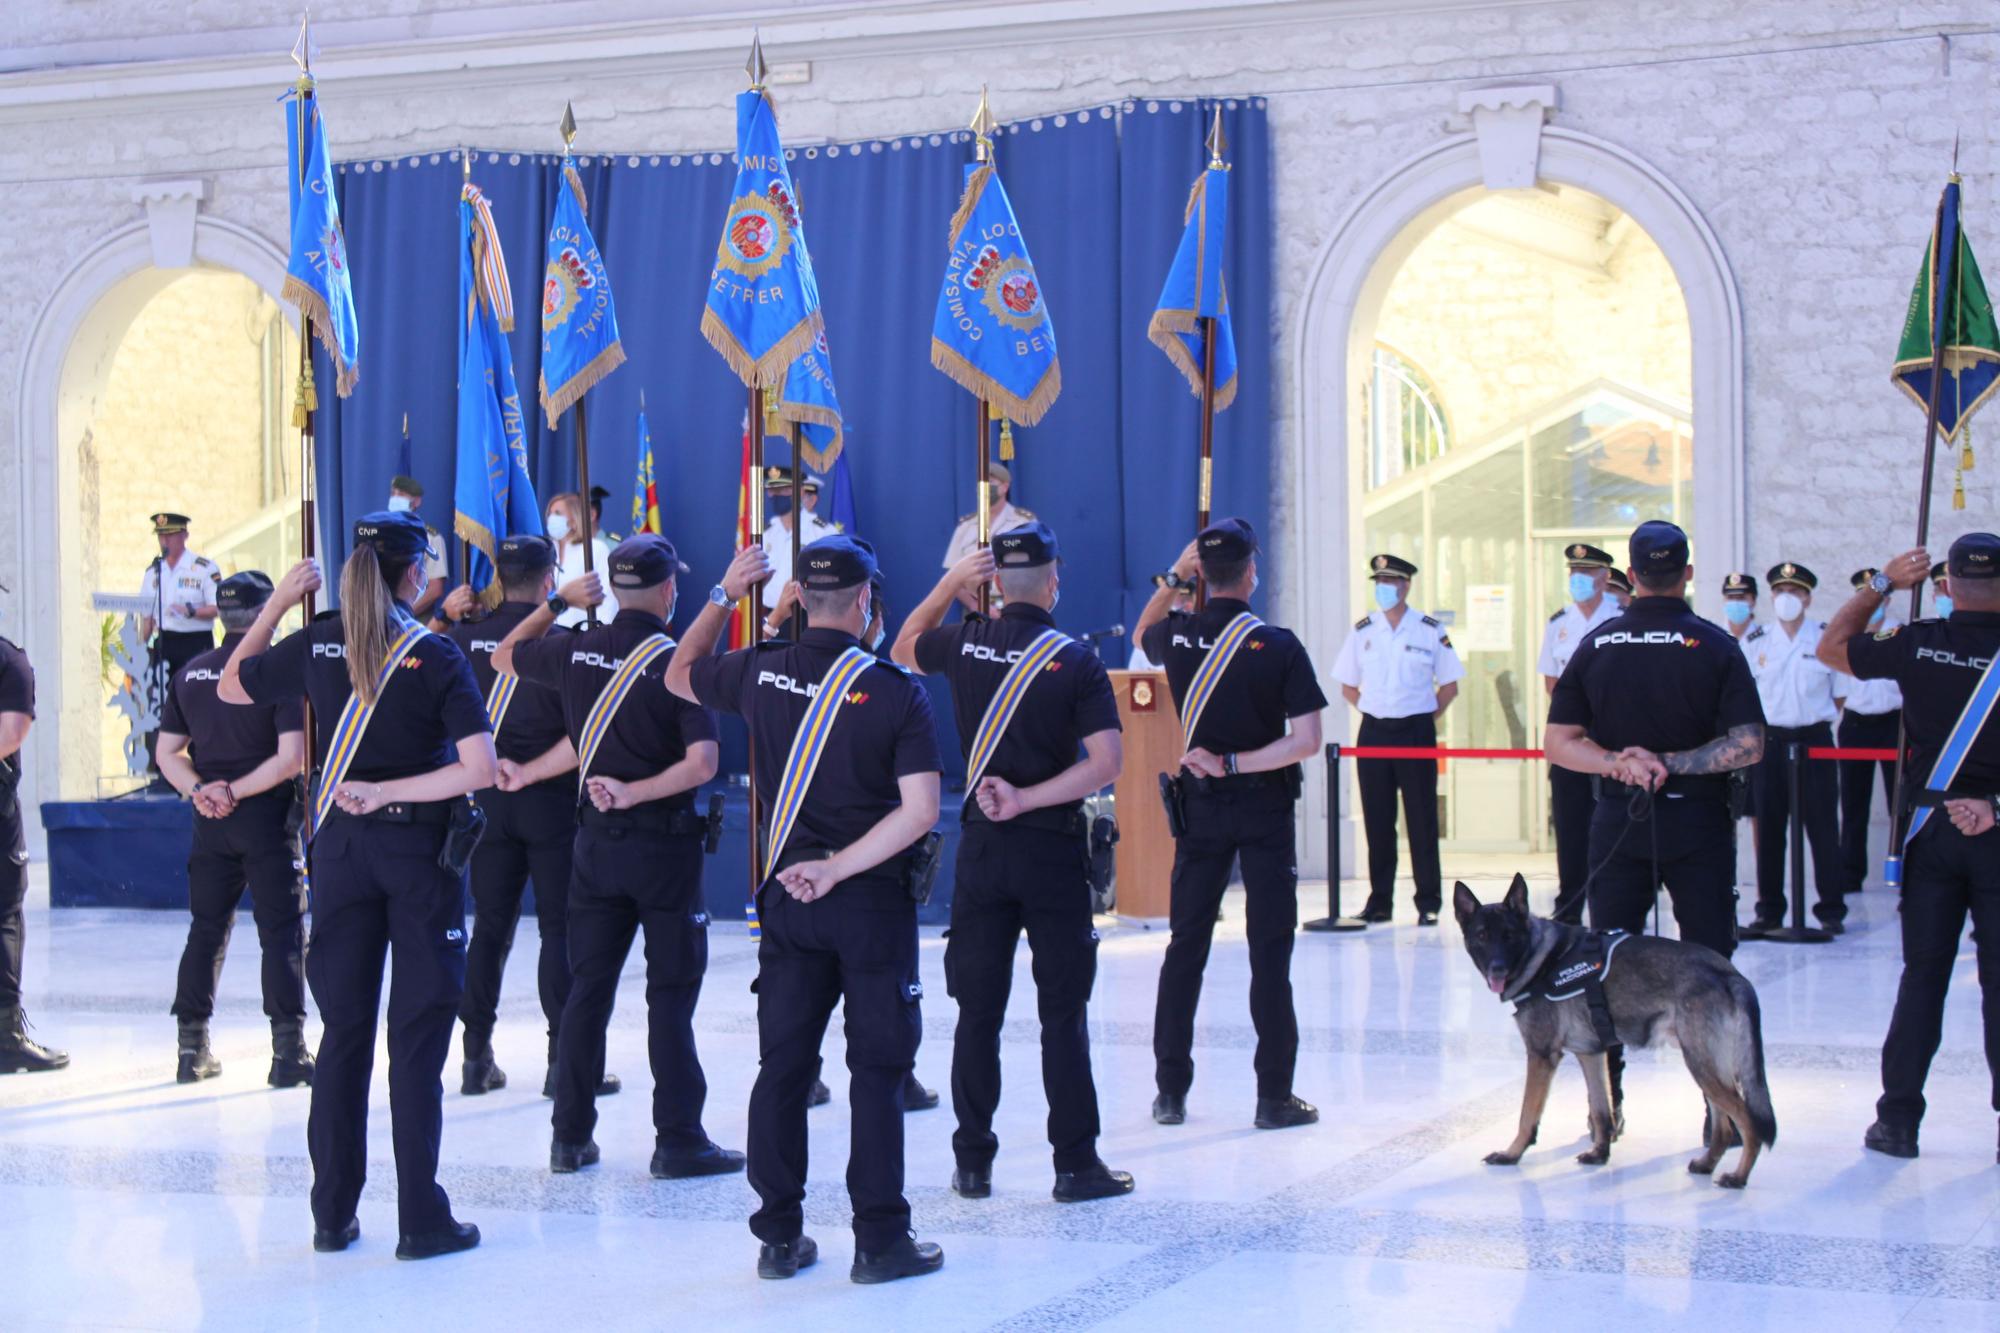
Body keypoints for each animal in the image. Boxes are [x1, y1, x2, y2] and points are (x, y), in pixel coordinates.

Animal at [1456, 872, 1784, 1184]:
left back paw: (1738, 1177)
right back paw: (1707, 1164)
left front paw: (1512, 1154)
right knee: (1723, 1127)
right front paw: (1600, 1153)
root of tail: (1730, 973)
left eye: (1509, 936)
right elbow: (1602, 1111)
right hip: (1708, 1066)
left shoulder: (1541, 1056)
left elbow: (1527, 1115)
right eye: (1482, 936)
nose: (1497, 969)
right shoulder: (1591, 1055)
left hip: (1702, 1065)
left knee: (1749, 1122)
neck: (1542, 958)